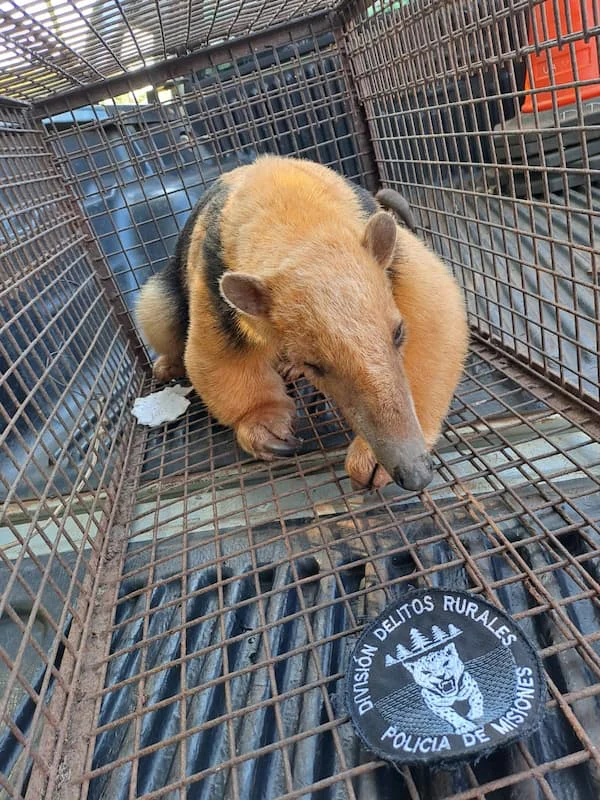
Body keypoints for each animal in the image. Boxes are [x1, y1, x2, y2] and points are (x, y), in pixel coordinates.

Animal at [135, 156, 469, 491]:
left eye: (398, 333)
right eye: (315, 364)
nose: (416, 475)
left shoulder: (391, 256)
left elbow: (434, 313)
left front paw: (370, 461)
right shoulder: (214, 284)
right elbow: (216, 355)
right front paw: (270, 431)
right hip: (169, 292)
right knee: (159, 314)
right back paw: (168, 366)